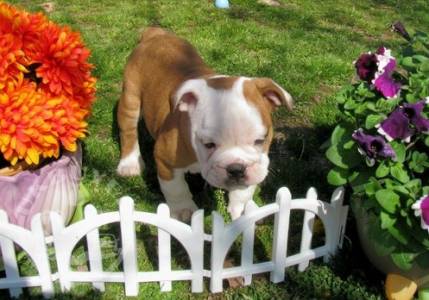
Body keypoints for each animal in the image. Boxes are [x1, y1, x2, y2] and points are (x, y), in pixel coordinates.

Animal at [115, 27, 292, 220]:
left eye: (261, 140)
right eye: (209, 144)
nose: (236, 168)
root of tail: (156, 34)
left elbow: (244, 190)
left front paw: (243, 208)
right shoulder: (166, 161)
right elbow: (176, 189)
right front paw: (183, 211)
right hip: (131, 96)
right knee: (128, 130)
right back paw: (129, 164)